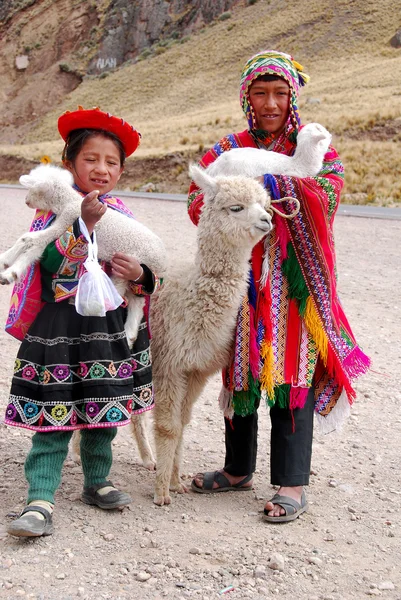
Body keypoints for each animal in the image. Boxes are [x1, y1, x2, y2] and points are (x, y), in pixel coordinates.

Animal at [0, 164, 166, 346]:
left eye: (34, 190)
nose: (26, 201)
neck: (69, 202)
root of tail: (163, 262)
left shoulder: (65, 221)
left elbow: (32, 241)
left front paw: (10, 273)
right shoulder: (61, 226)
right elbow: (29, 241)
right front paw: (4, 261)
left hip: (131, 265)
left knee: (118, 291)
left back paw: (88, 304)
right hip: (134, 272)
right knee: (137, 301)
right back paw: (129, 336)